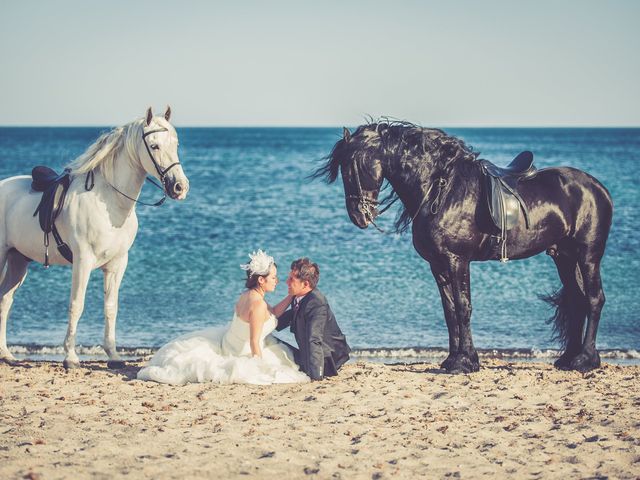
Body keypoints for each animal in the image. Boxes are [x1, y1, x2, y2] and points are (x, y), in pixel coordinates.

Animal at [0, 108, 189, 368]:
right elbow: (76, 305)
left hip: (18, 261)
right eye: (154, 145)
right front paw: (70, 357)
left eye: (176, 144)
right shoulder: (83, 260)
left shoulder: (117, 264)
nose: (180, 187)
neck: (109, 202)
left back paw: (6, 354)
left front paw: (114, 355)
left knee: (4, 301)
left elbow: (111, 307)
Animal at [318, 122, 612, 374]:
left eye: (355, 165)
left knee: (594, 299)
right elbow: (449, 311)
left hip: (588, 255)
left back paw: (585, 360)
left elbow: (463, 307)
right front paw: (454, 359)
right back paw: (568, 359)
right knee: (577, 300)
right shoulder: (437, 264)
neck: (440, 189)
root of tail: (599, 189)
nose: (358, 216)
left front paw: (465, 362)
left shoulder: (457, 260)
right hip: (564, 257)